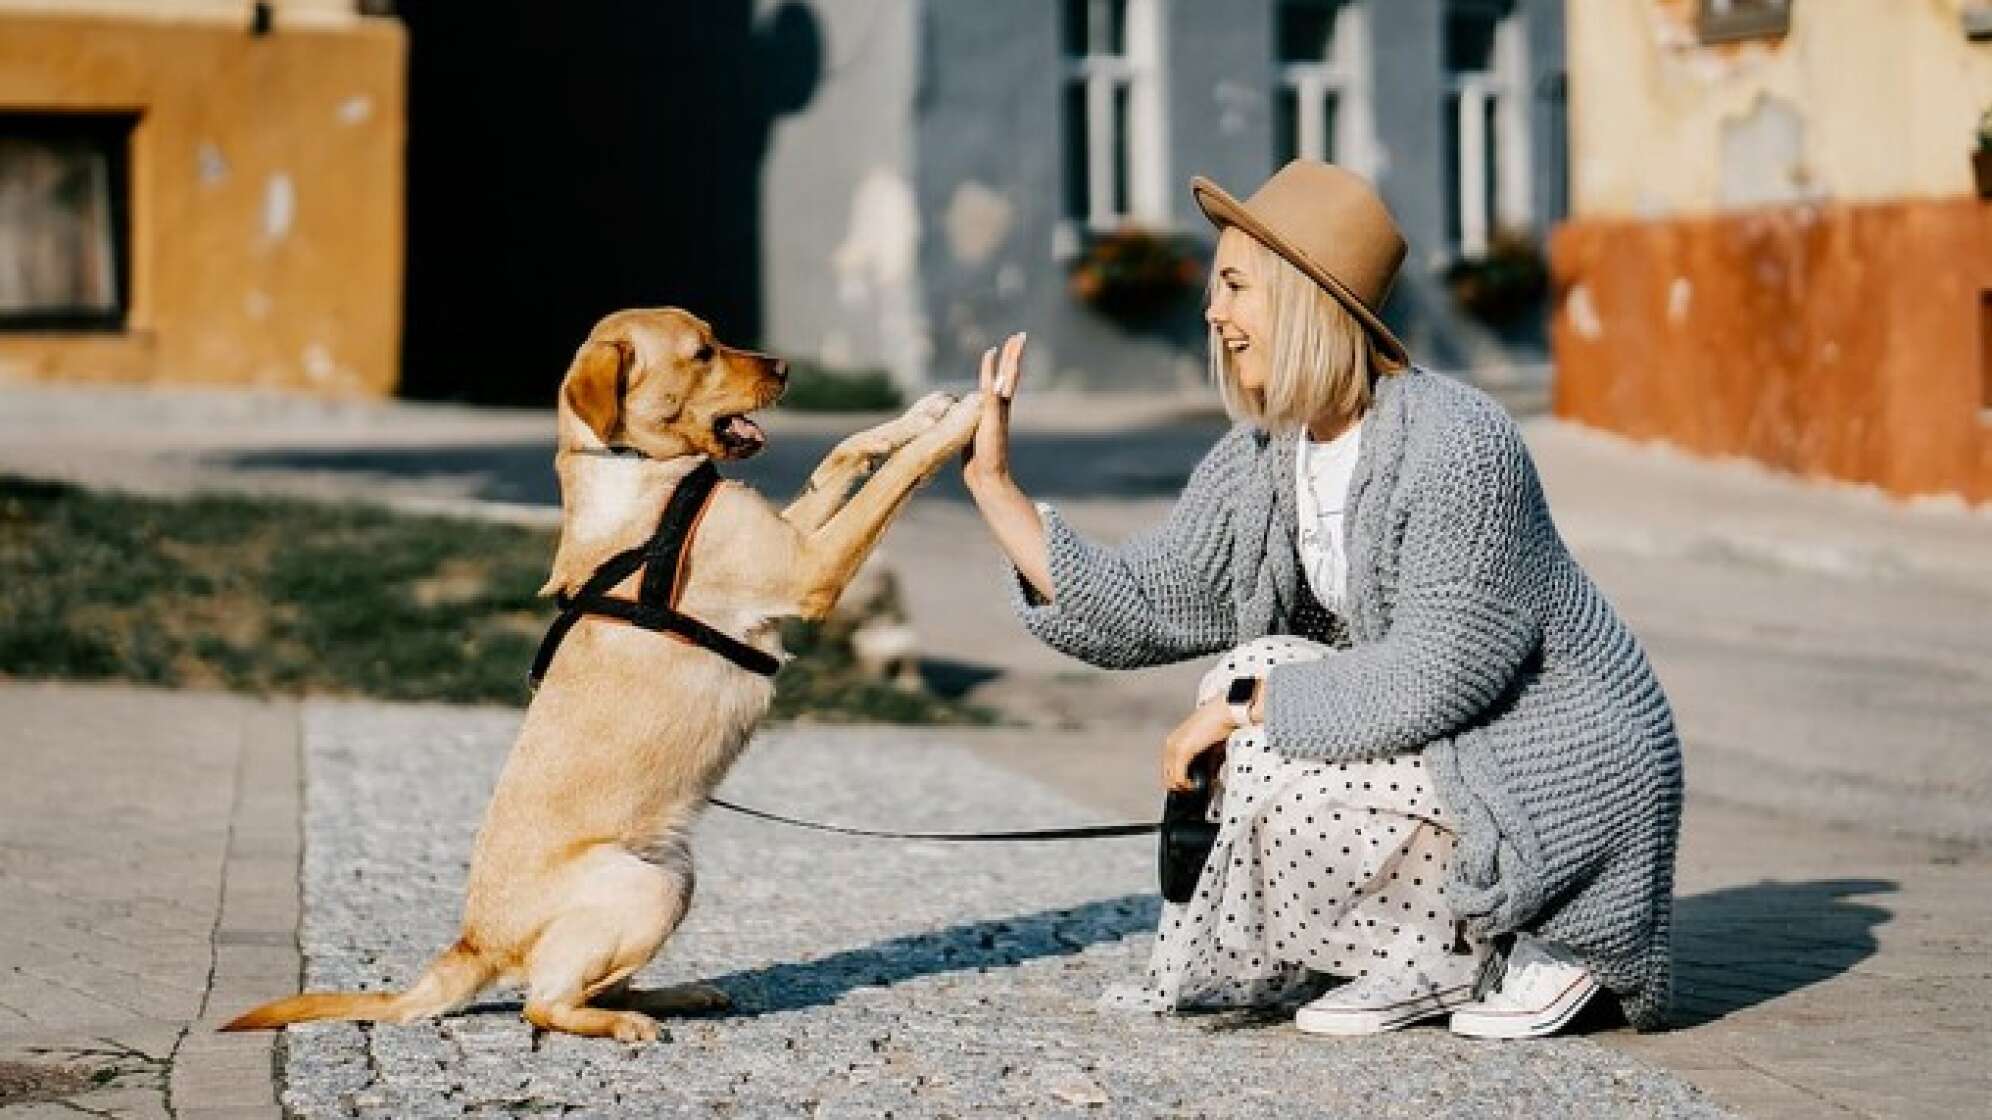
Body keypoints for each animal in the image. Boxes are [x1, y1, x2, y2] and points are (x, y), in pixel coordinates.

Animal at [224, 302, 980, 1036]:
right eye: (702, 352)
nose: (787, 368)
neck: (636, 469)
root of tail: (475, 942)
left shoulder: (791, 538)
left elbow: (844, 452)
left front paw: (923, 413)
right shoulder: (808, 568)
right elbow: (900, 476)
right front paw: (967, 419)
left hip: (675, 875)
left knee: (592, 984)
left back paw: (674, 996)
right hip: (645, 887)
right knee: (544, 1003)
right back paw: (622, 1024)